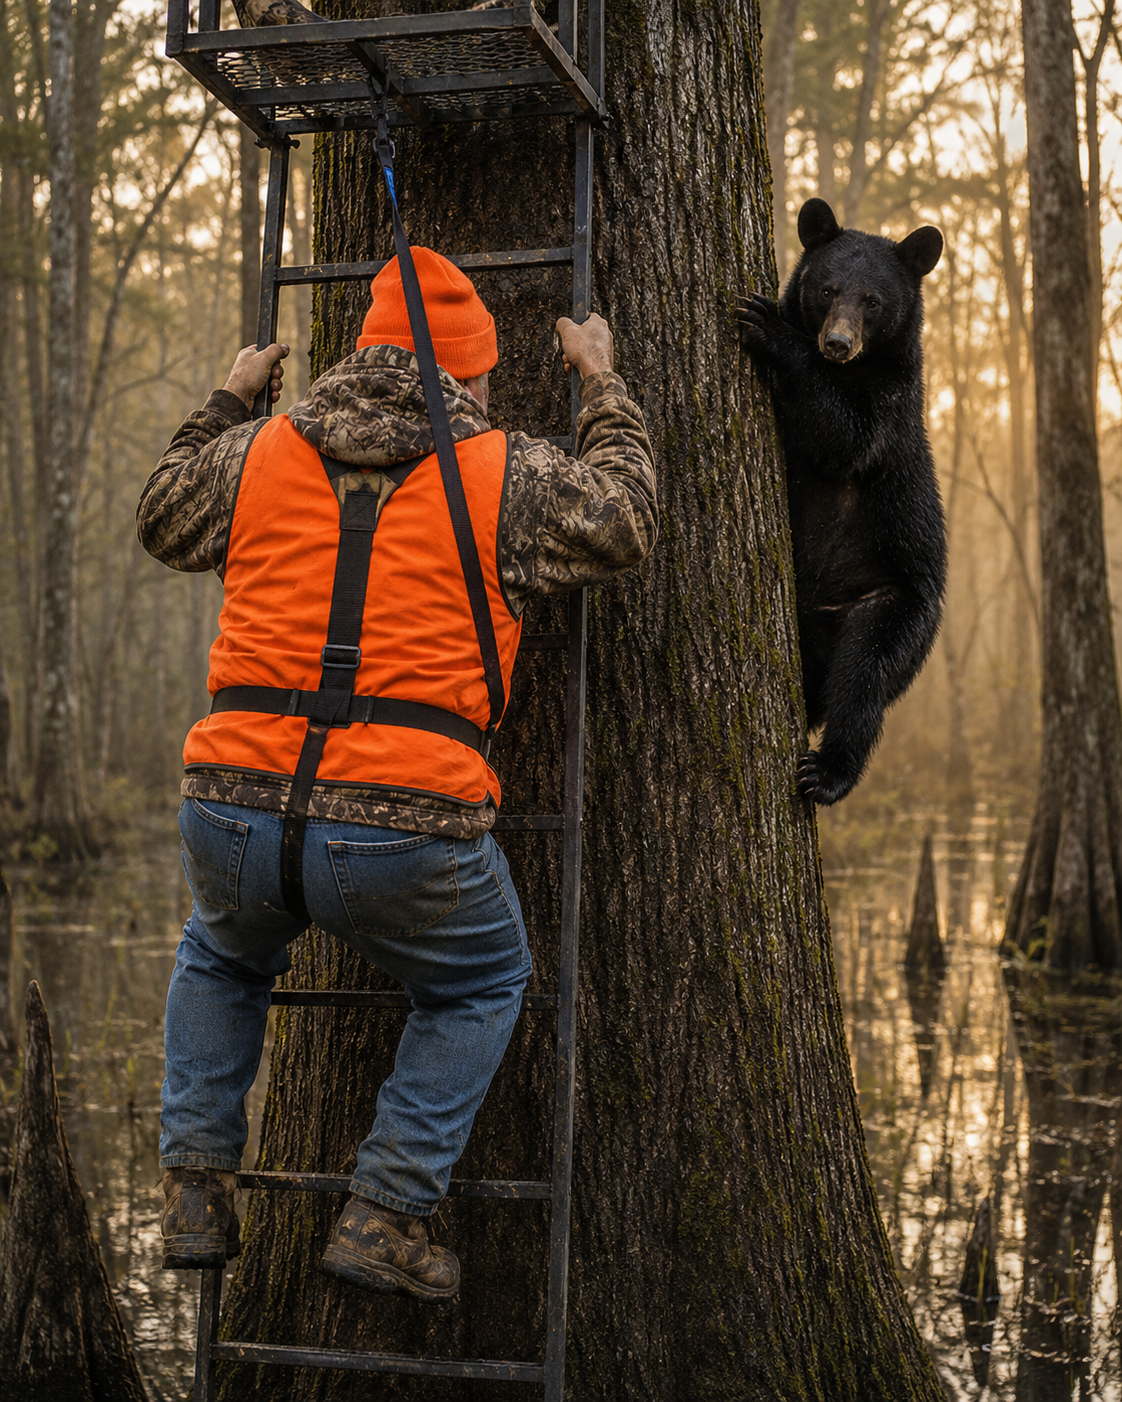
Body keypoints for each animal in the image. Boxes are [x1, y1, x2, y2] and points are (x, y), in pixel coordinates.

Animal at [738, 197, 946, 805]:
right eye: (828, 289)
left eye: (873, 301)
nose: (837, 343)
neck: (855, 370)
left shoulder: (891, 403)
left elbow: (845, 437)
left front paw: (768, 326)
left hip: (896, 605)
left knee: (862, 682)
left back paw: (827, 772)